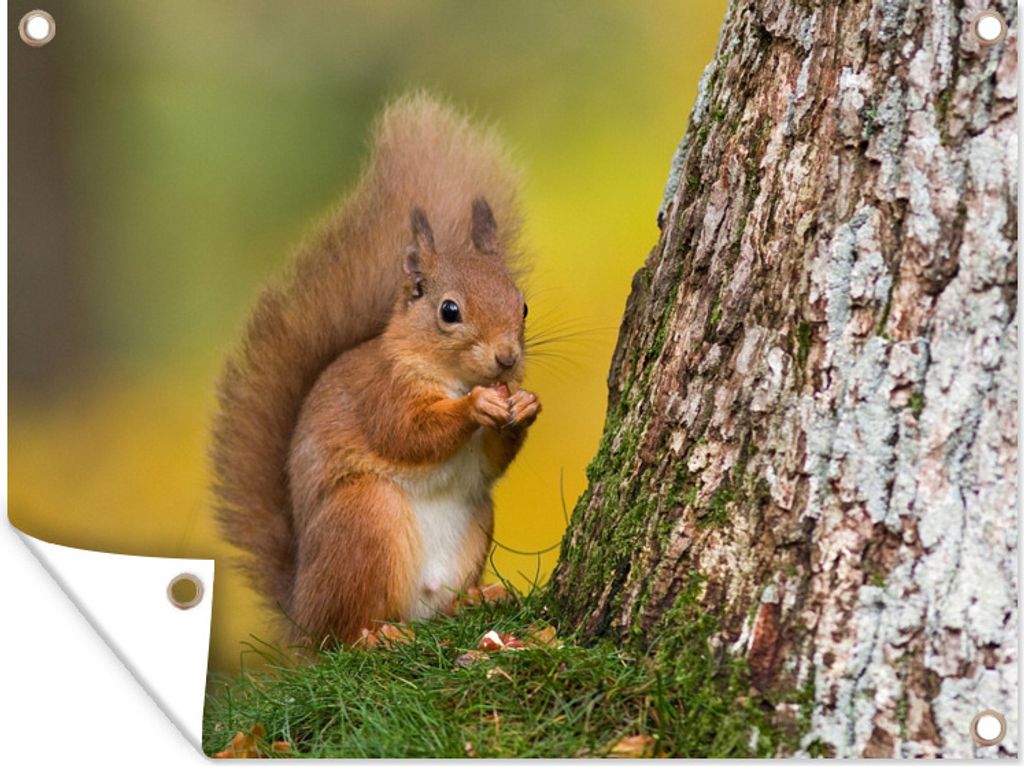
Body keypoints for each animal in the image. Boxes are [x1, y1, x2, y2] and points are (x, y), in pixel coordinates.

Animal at [211, 93, 540, 646]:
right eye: (449, 311)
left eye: (523, 306)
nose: (507, 359)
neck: (452, 376)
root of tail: (301, 612)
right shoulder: (382, 393)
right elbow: (407, 433)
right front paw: (476, 406)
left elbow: (493, 461)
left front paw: (526, 405)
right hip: (365, 516)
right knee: (343, 633)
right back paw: (374, 636)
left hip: (476, 521)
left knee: (438, 607)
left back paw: (477, 598)